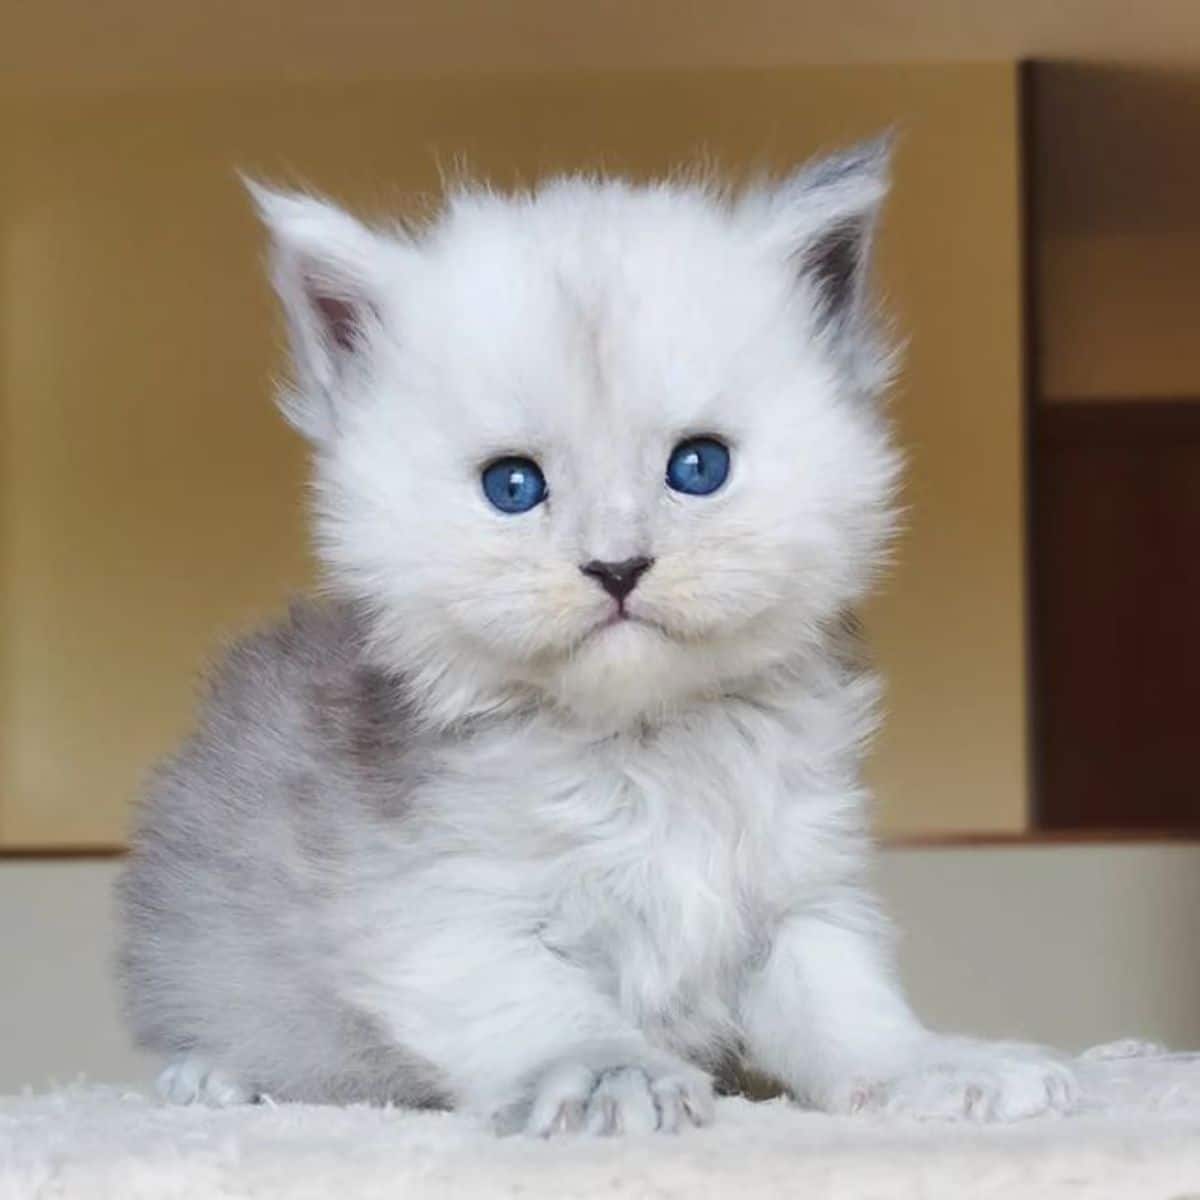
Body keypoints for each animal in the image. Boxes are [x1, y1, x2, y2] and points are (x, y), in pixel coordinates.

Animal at [119, 142, 1080, 1132]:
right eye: (512, 486)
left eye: (698, 467)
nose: (617, 567)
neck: (648, 751)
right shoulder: (441, 913)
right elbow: (547, 1011)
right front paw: (613, 1079)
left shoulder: (802, 898)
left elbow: (854, 1011)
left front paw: (937, 1067)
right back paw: (217, 1078)